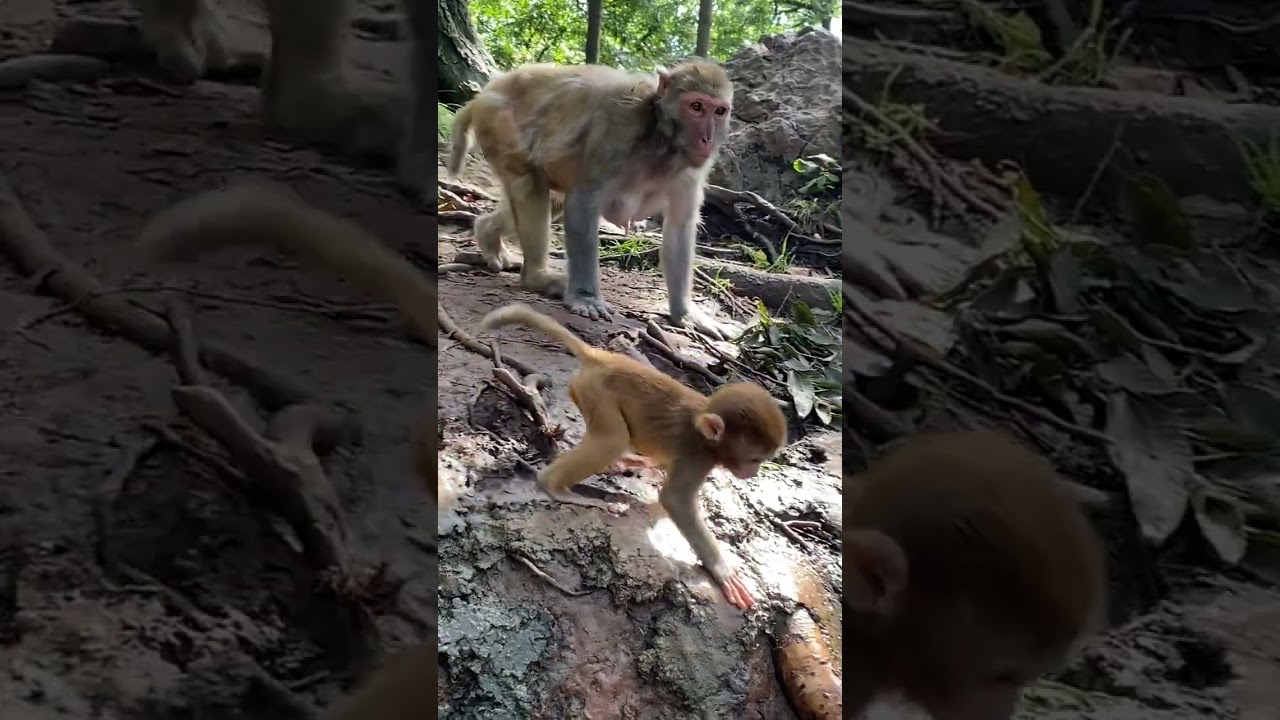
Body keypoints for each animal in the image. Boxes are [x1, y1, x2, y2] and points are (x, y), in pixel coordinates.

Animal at [450, 59, 735, 339]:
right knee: (530, 184)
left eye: (719, 111)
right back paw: (536, 277)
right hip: (498, 122)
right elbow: (583, 200)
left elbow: (679, 227)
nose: (707, 139)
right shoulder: (619, 130)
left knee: (550, 200)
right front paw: (585, 297)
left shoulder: (691, 170)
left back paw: (487, 233)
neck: (661, 138)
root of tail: (484, 94)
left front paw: (686, 313)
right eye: (696, 106)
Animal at [479, 303, 788, 611]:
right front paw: (722, 571)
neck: (707, 433)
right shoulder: (696, 456)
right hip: (596, 391)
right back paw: (557, 487)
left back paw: (621, 463)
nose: (753, 473)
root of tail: (603, 357)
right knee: (612, 440)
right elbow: (675, 500)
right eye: (754, 459)